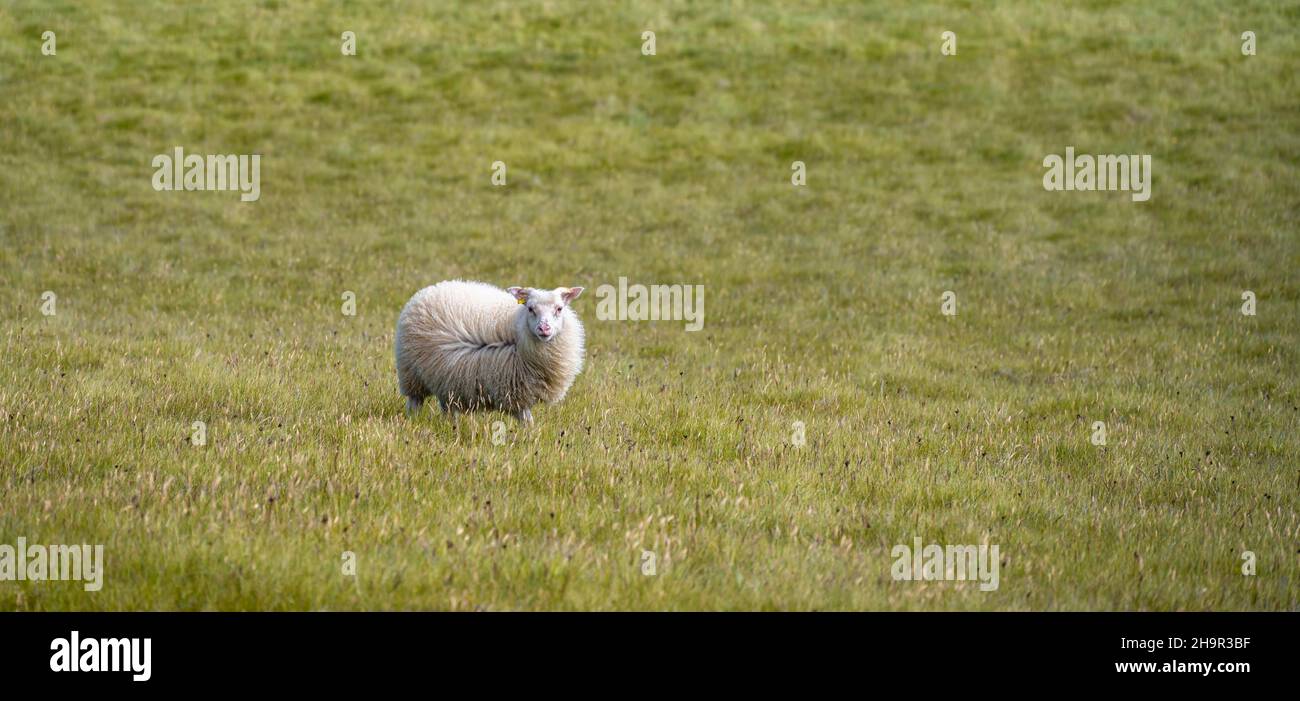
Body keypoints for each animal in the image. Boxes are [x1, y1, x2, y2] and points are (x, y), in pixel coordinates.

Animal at [390, 280, 585, 423]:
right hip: (411, 373)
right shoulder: (513, 390)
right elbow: (526, 419)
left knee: (447, 406)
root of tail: (426, 291)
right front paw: (529, 438)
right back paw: (413, 421)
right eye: (530, 308)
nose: (544, 328)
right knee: (415, 402)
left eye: (559, 309)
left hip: (446, 378)